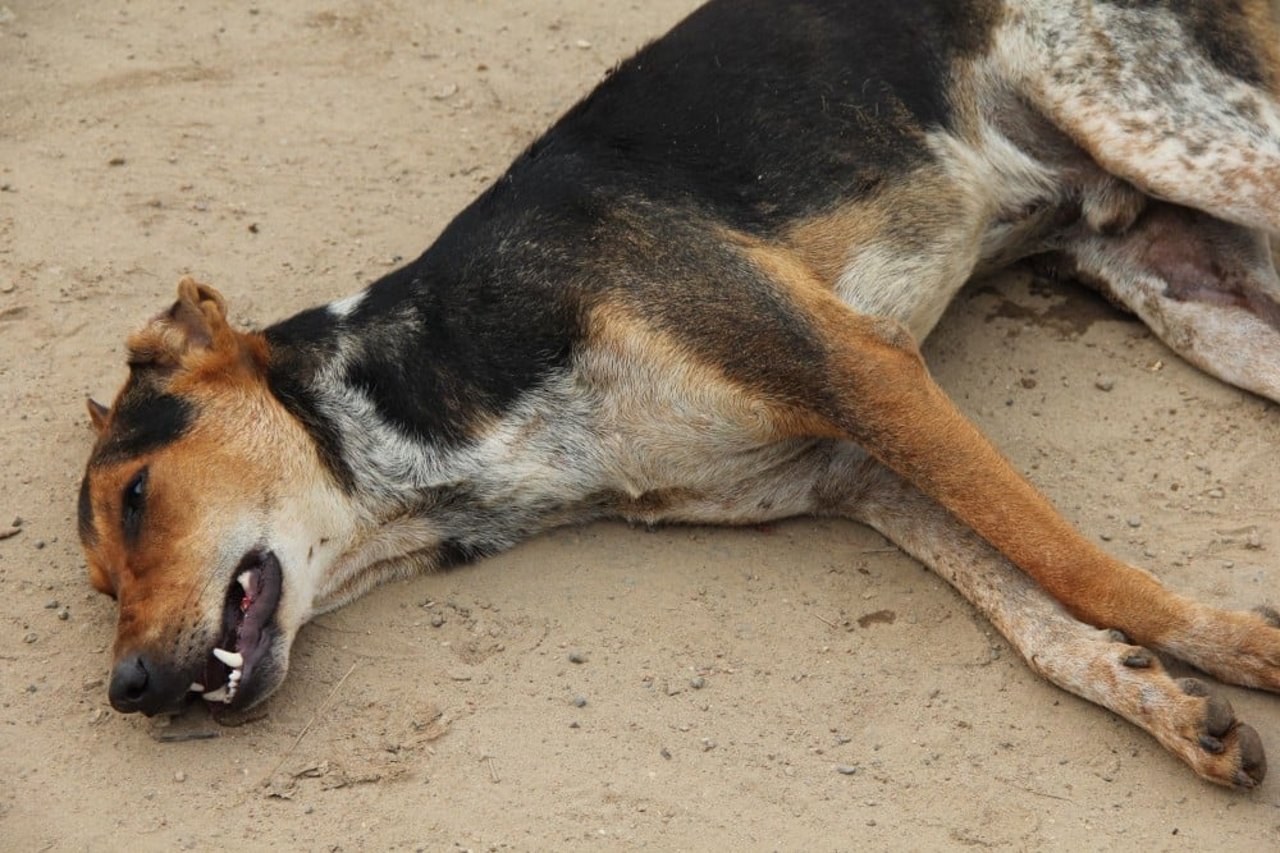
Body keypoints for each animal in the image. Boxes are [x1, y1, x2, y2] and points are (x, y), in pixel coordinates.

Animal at [77, 0, 1280, 788]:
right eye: (98, 586)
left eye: (136, 498)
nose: (125, 690)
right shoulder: (852, 473)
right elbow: (1038, 617)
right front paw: (1167, 698)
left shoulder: (856, 365)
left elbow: (1076, 567)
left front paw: (1232, 650)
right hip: (1190, 291)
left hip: (1182, 135)